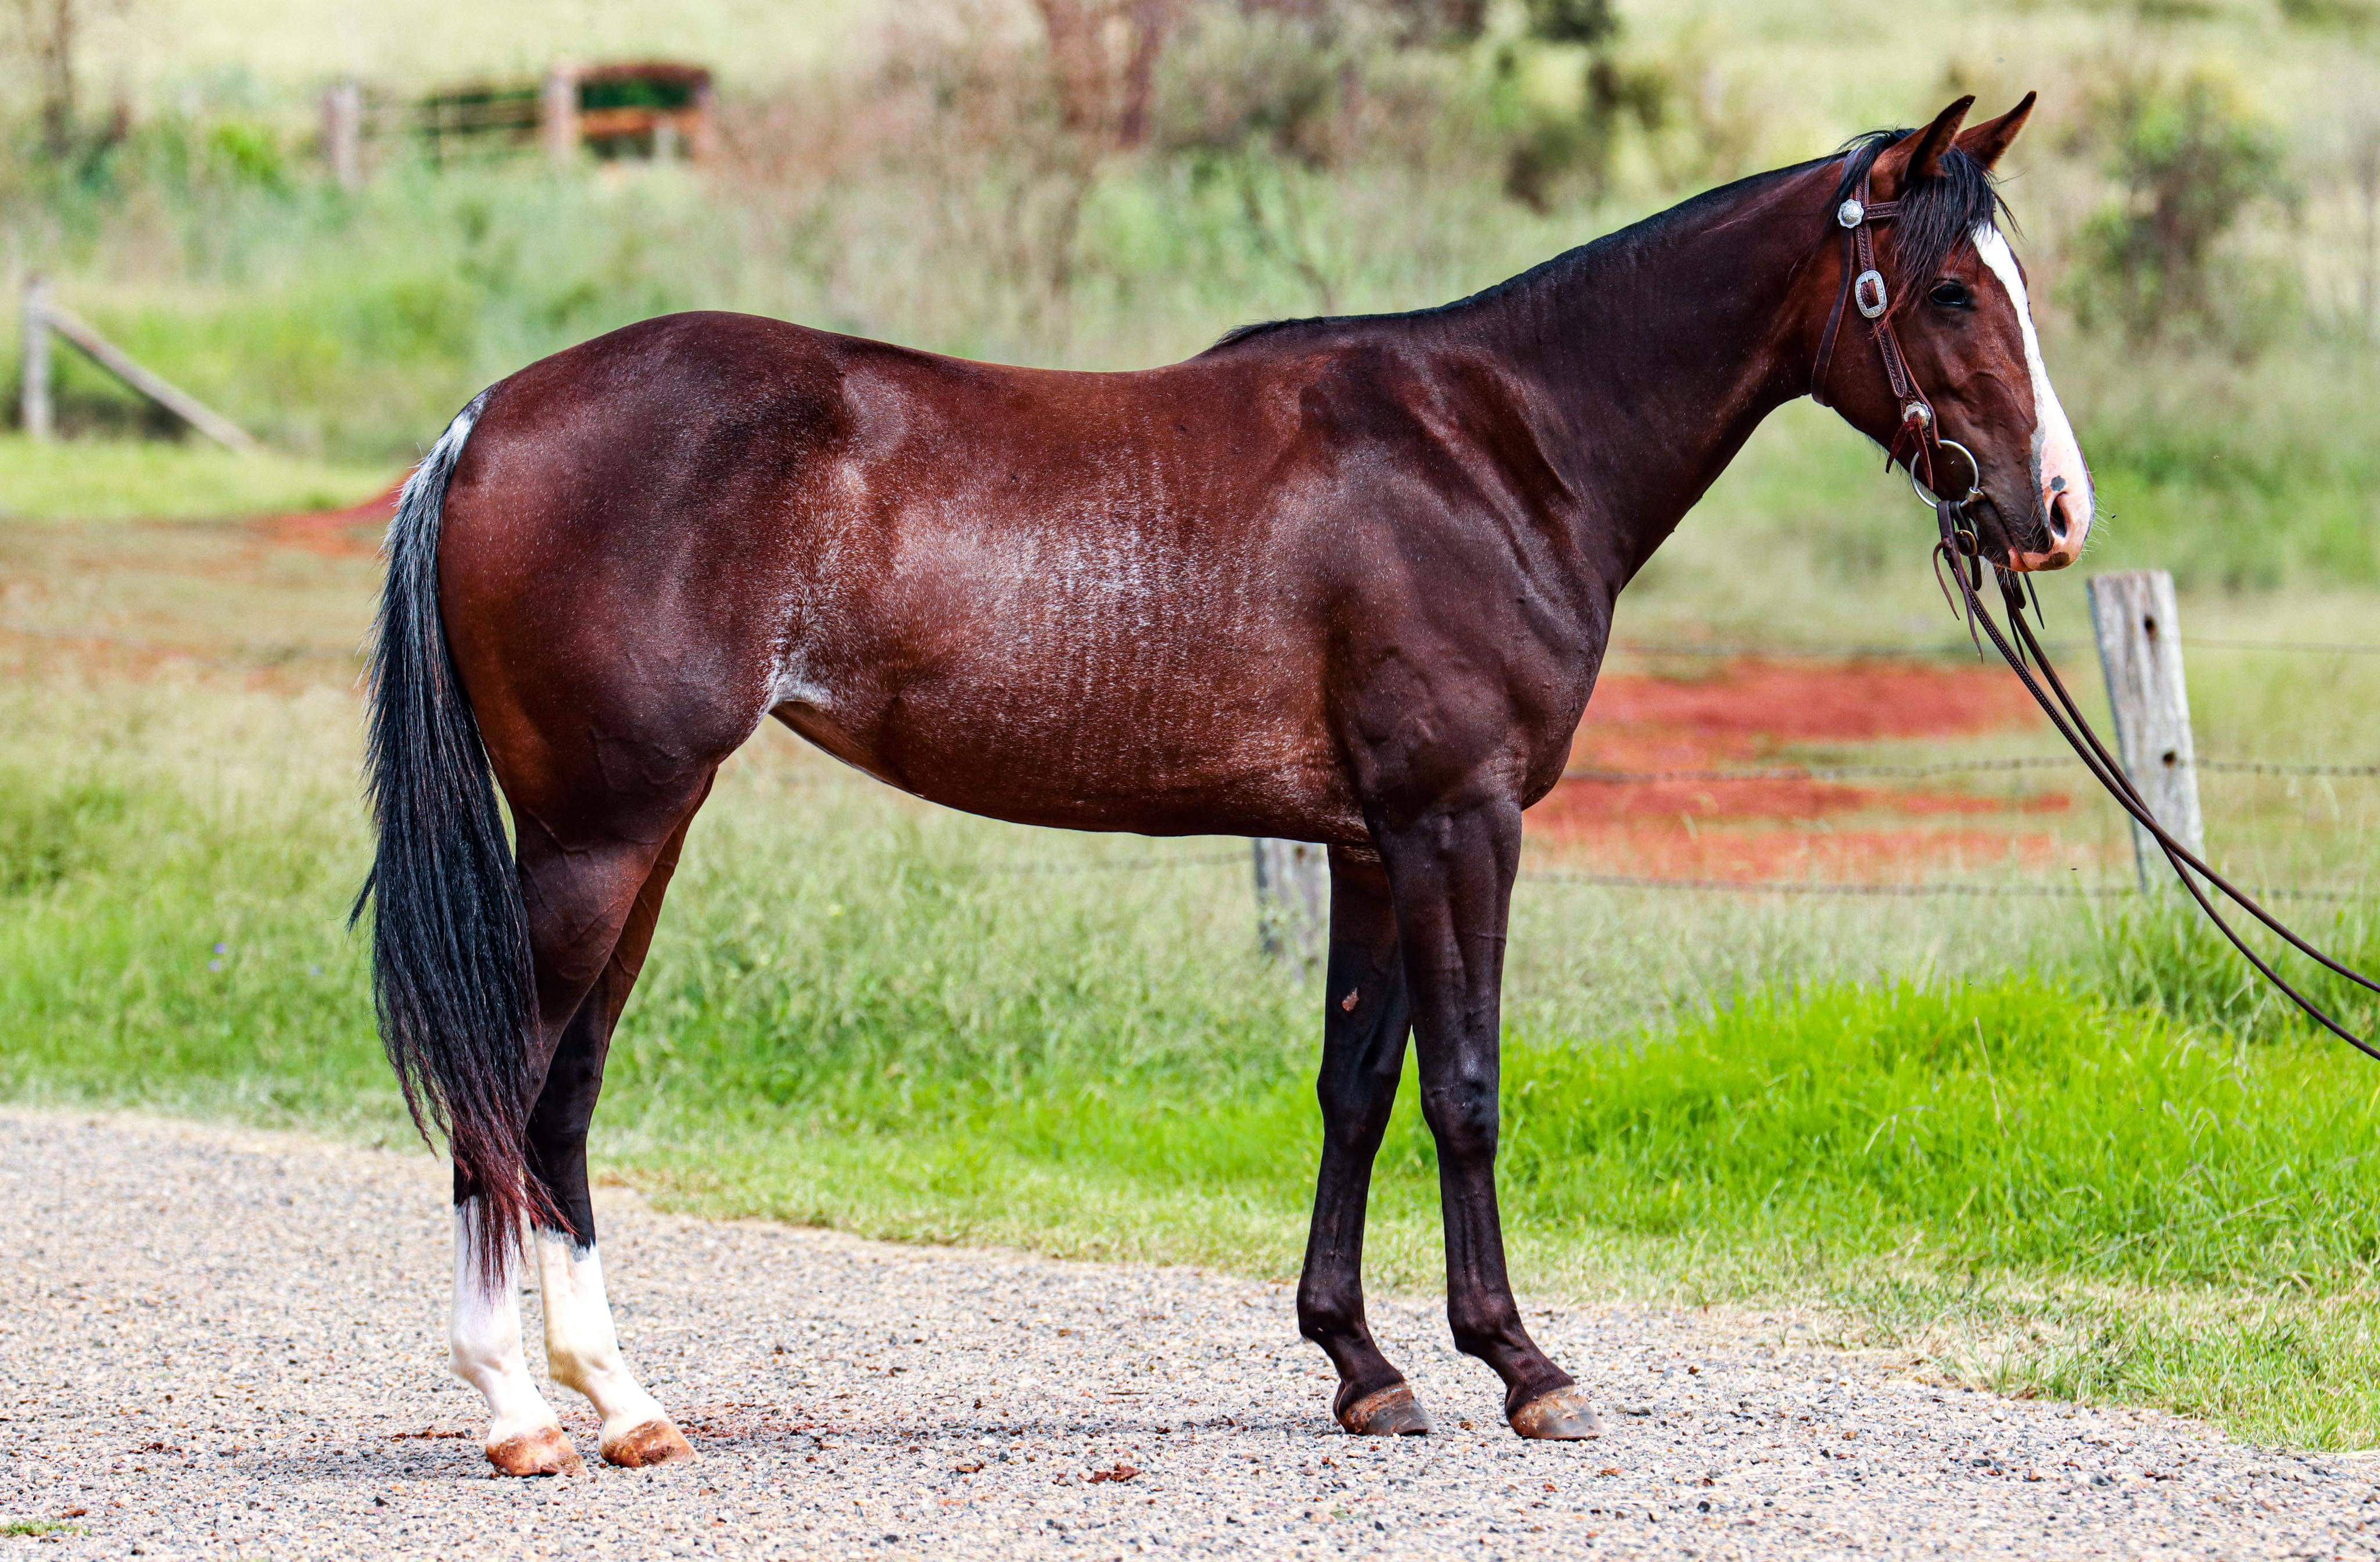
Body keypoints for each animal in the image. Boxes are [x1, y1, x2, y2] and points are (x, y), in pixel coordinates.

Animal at [356, 93, 2089, 1476]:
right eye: (1947, 291)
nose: (2055, 511)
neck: (1497, 447)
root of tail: (485, 419)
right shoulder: (1461, 824)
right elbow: (1467, 1088)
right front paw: (1524, 1368)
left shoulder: (1371, 845)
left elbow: (1357, 1087)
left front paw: (1366, 1370)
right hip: (599, 837)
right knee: (506, 1090)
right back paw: (518, 1416)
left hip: (641, 840)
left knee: (564, 1101)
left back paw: (623, 1405)